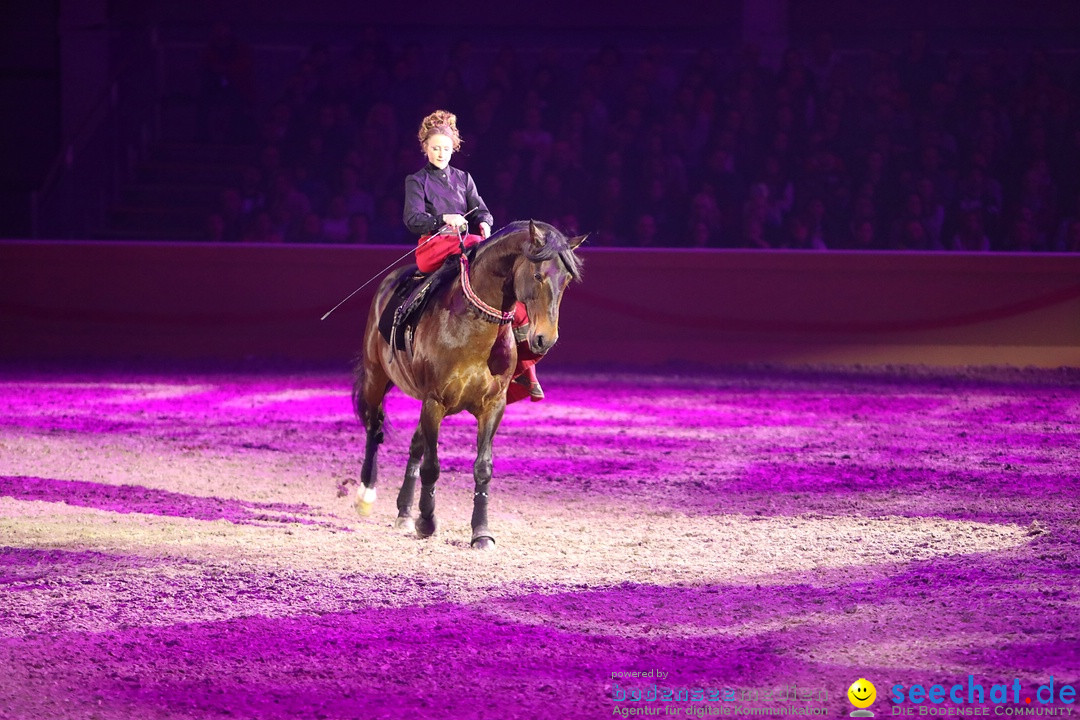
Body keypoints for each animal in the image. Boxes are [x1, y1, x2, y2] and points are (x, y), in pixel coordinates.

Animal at [349, 222, 583, 548]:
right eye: (538, 275)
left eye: (566, 281)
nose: (544, 339)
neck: (472, 329)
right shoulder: (435, 401)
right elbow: (432, 467)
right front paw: (427, 522)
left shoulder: (492, 406)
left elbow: (482, 468)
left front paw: (481, 532)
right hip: (376, 377)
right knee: (375, 427)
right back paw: (366, 495)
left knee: (415, 445)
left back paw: (404, 512)